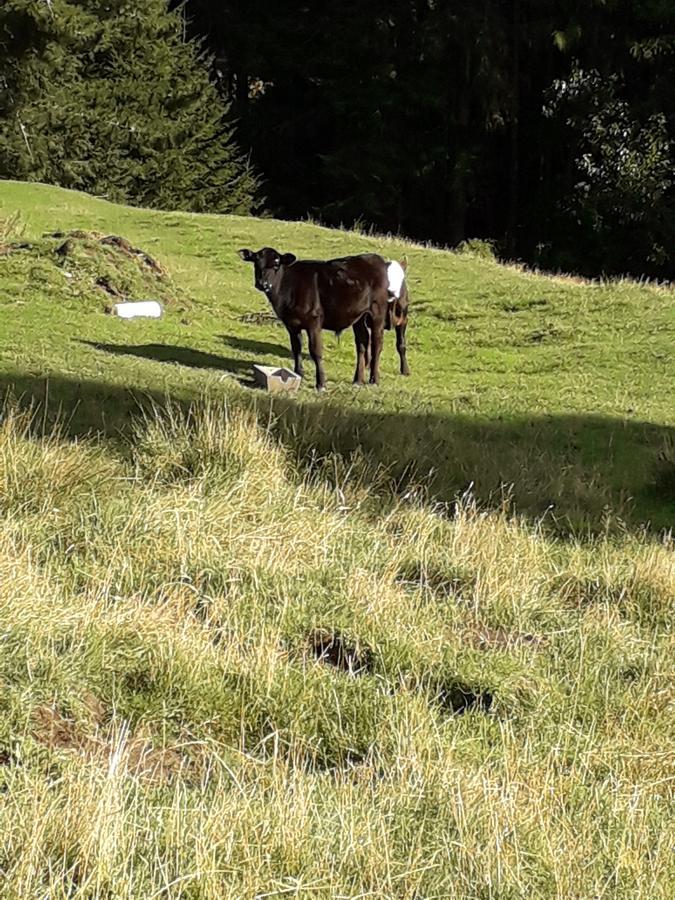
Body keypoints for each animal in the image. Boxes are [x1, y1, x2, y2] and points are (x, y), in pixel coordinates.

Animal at [239, 246, 406, 390]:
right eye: (256, 263)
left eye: (276, 264)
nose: (263, 284)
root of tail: (376, 258)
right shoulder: (291, 324)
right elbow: (296, 348)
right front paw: (298, 374)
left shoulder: (314, 322)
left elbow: (316, 351)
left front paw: (321, 384)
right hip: (359, 316)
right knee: (362, 344)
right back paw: (357, 380)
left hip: (377, 312)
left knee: (377, 344)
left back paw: (374, 379)